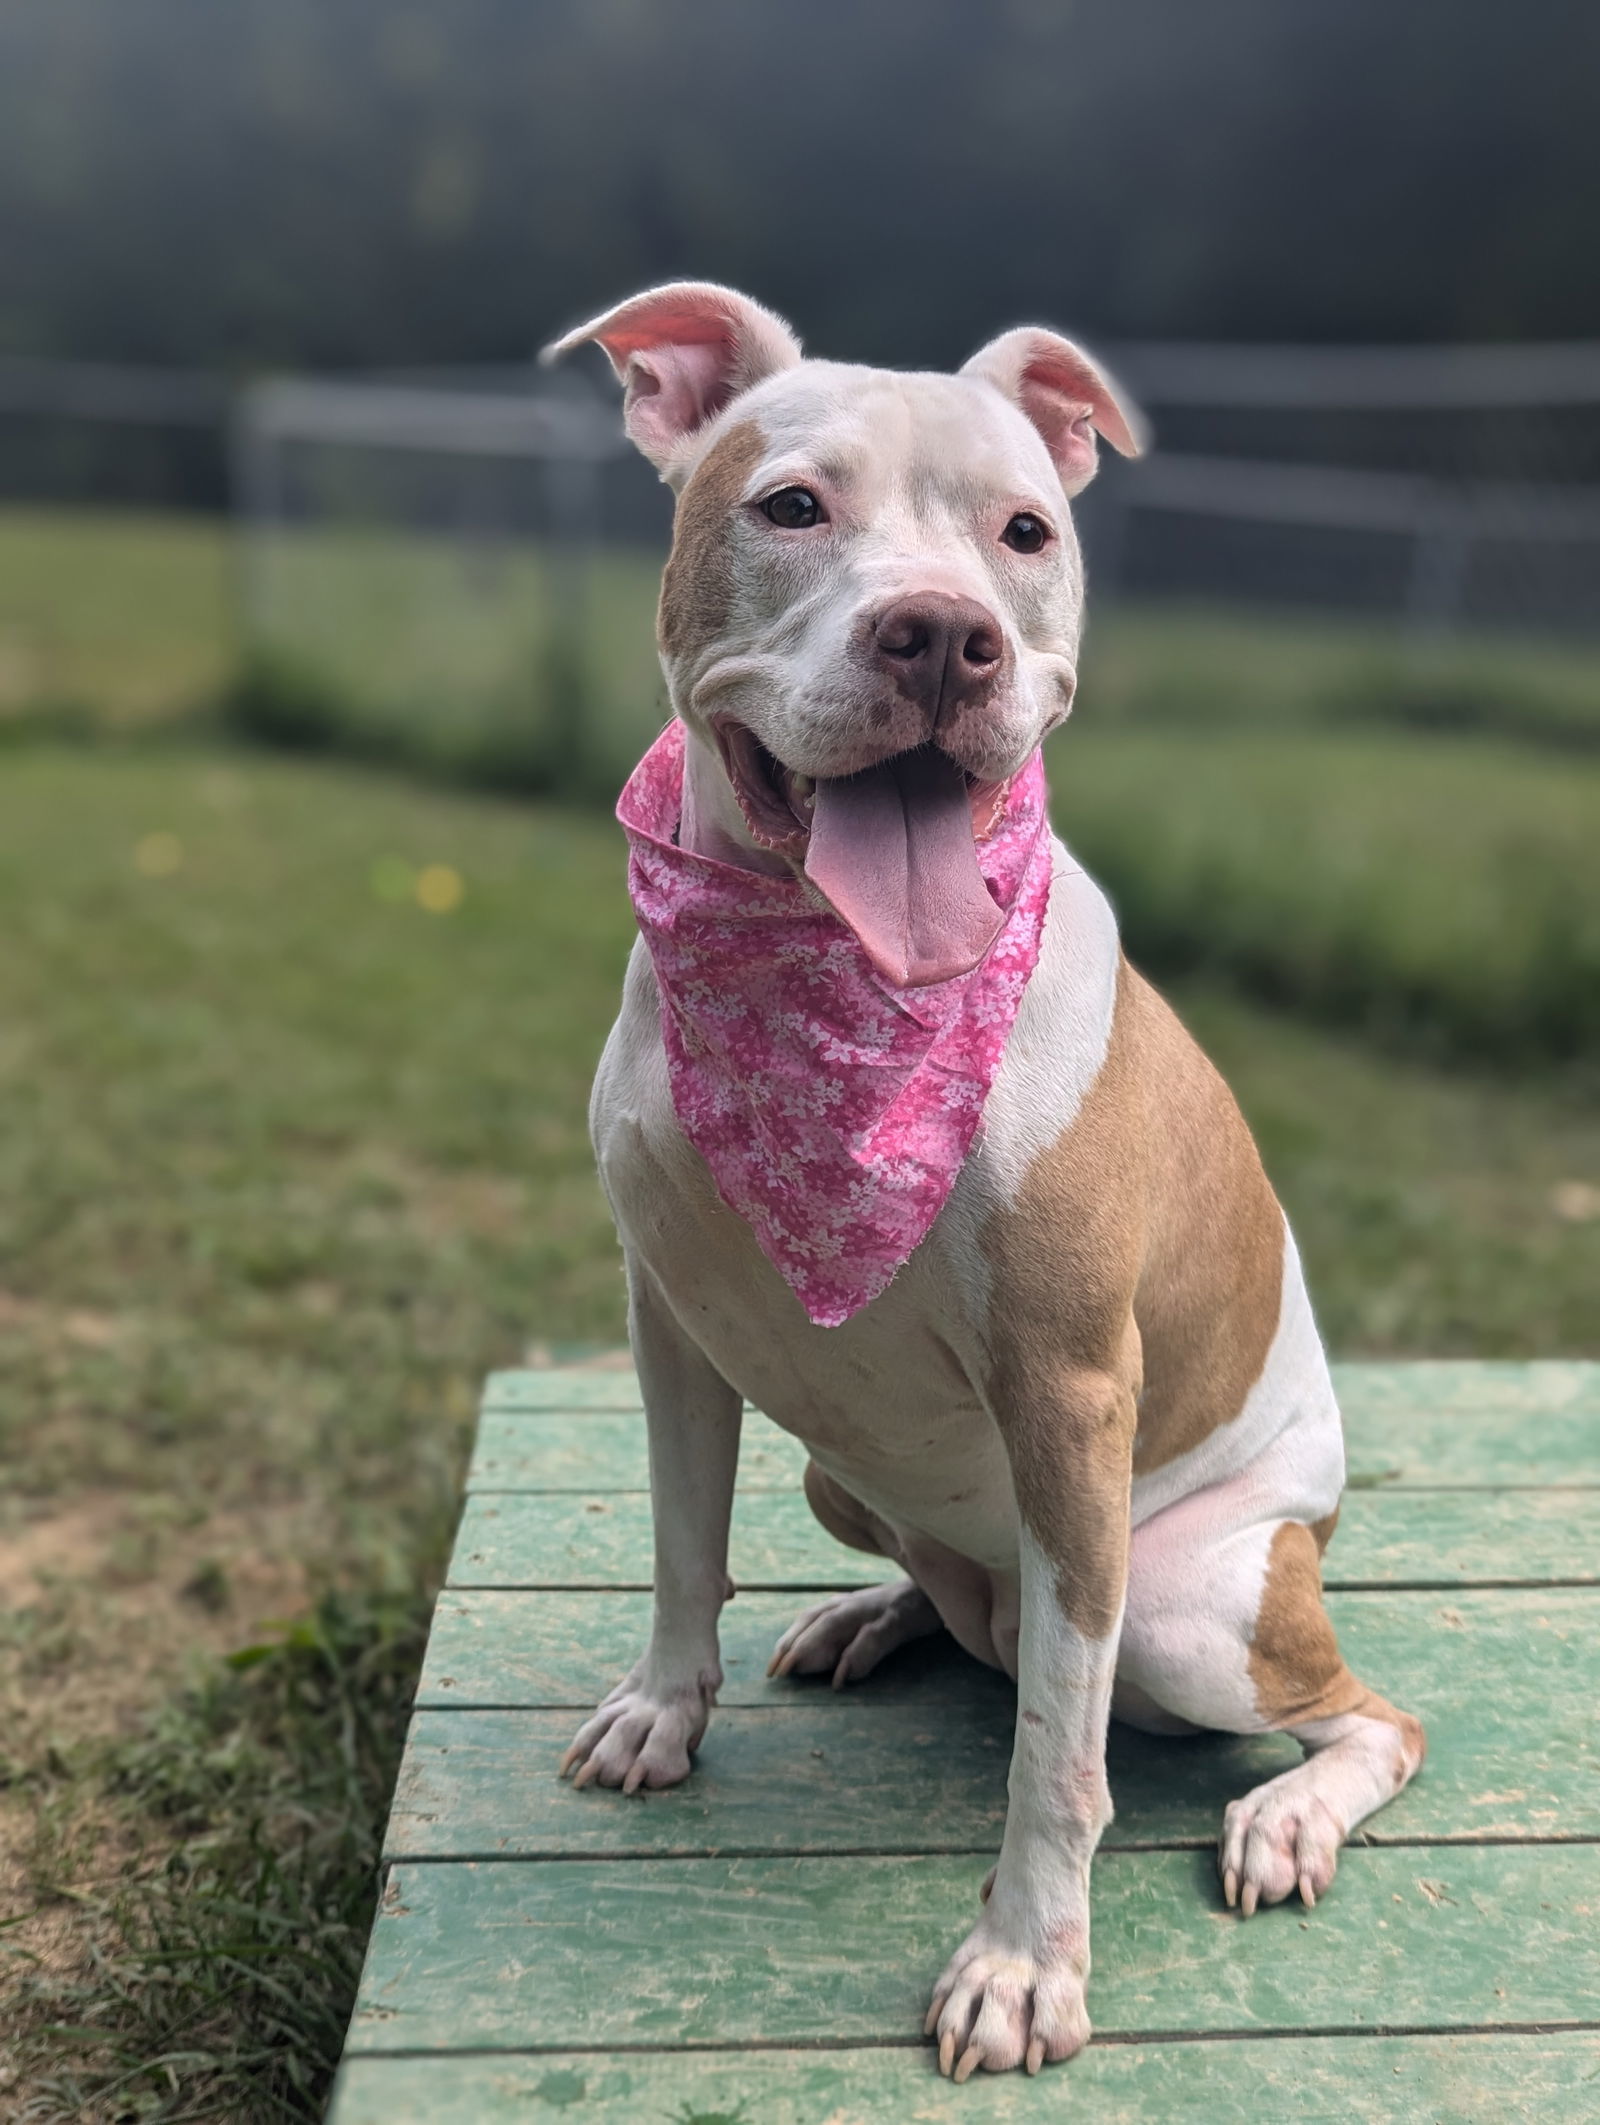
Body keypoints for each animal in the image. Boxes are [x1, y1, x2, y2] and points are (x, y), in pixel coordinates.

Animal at [543, 278, 1419, 2074]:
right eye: (790, 507)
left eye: (1026, 533)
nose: (946, 635)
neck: (831, 994)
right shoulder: (671, 1322)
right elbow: (679, 1539)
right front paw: (665, 1708)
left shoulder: (1069, 1398)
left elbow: (1056, 1765)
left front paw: (1027, 1963)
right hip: (847, 1474)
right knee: (966, 1613)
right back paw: (876, 1619)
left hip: (1190, 1603)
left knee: (1352, 1714)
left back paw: (1291, 1812)